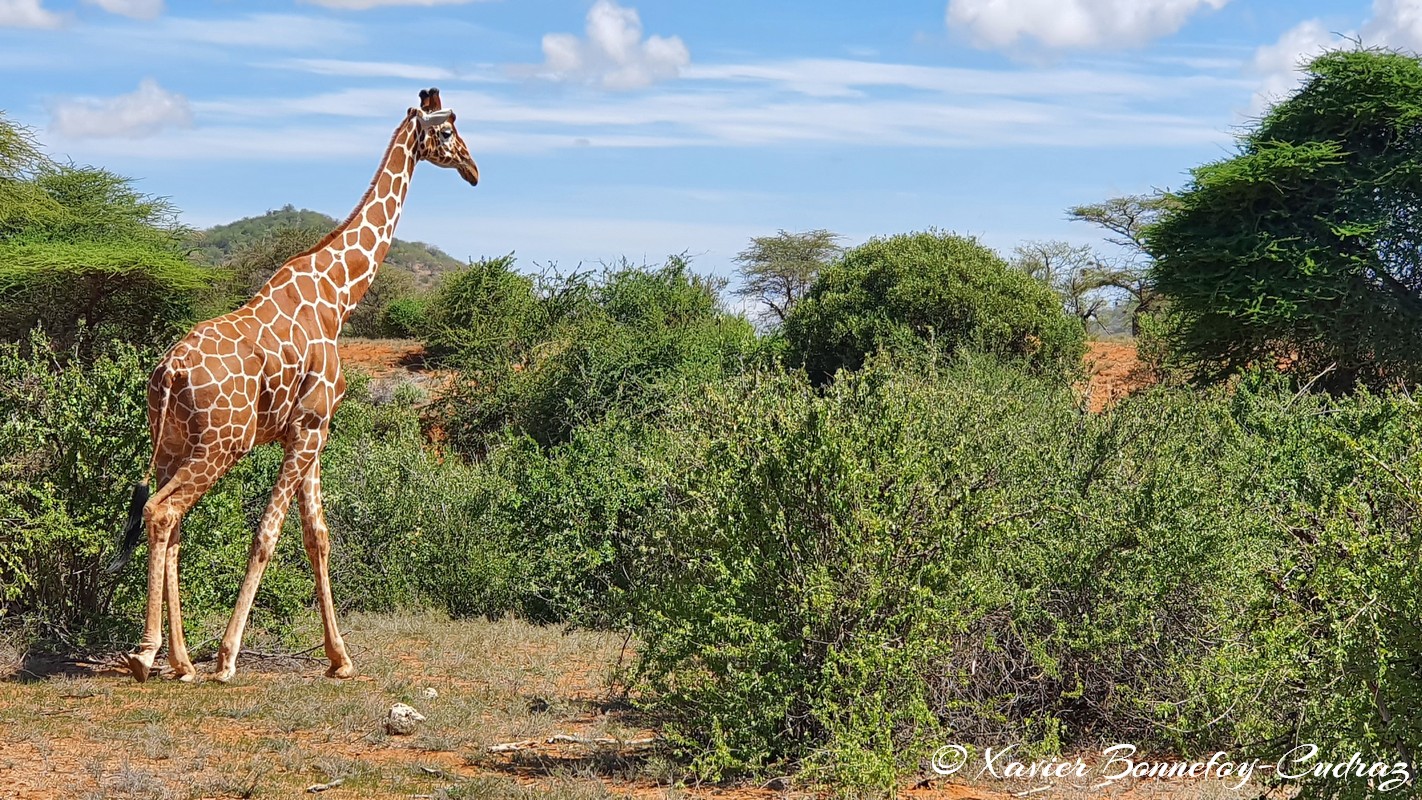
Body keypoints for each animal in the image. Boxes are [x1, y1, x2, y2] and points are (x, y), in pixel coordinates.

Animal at [106, 89, 483, 687]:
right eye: (447, 133)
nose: (473, 168)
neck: (338, 296)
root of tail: (170, 372)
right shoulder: (310, 427)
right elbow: (267, 535)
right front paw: (229, 658)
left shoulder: (307, 431)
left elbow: (317, 537)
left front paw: (340, 658)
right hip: (221, 444)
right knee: (163, 514)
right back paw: (149, 655)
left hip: (170, 444)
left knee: (169, 522)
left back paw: (180, 662)